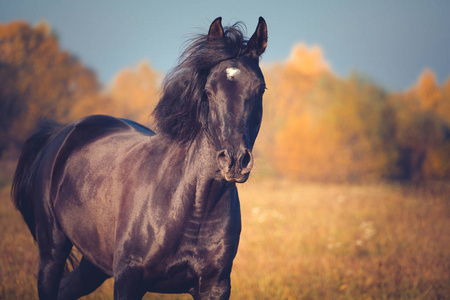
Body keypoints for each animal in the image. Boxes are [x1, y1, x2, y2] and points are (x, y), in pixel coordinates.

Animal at [11, 17, 268, 300]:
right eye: (208, 91)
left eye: (260, 89)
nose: (234, 160)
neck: (194, 207)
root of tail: (62, 133)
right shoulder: (128, 279)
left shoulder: (215, 287)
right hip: (52, 253)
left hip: (93, 265)